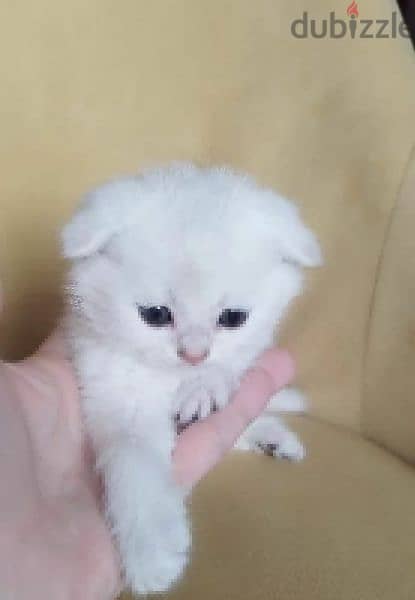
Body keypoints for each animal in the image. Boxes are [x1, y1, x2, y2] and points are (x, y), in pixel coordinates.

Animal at [61, 162, 322, 592]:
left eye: (233, 318)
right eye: (155, 315)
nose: (194, 356)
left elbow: (231, 368)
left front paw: (206, 384)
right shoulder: (117, 394)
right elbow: (135, 464)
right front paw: (152, 551)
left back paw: (273, 437)